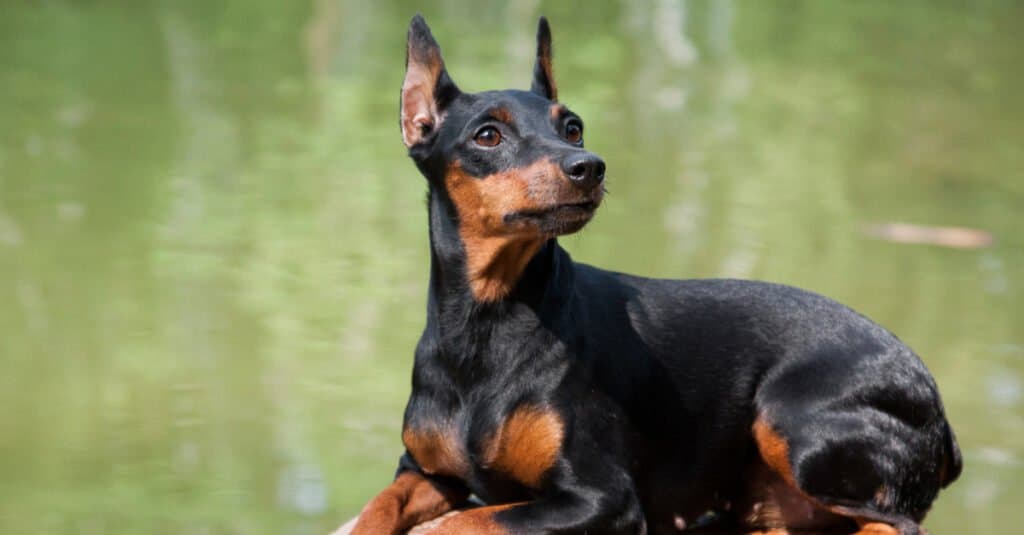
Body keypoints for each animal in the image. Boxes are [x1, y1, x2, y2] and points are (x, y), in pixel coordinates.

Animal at [350, 14, 958, 528]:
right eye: (487, 135)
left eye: (573, 127)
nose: (589, 167)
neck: (485, 323)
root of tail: (941, 419)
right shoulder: (424, 472)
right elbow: (376, 511)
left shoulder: (604, 498)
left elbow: (468, 523)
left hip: (790, 420)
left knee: (888, 523)